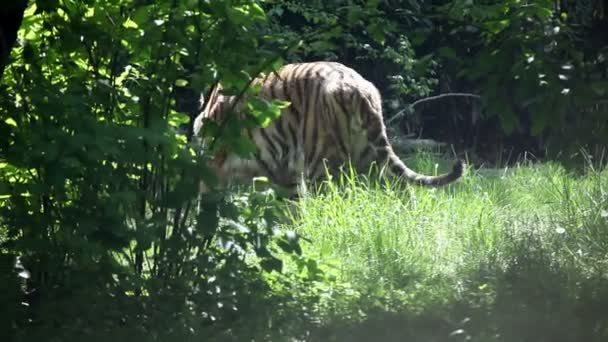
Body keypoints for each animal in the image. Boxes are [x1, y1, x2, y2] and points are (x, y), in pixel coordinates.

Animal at [195, 61, 466, 194]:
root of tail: (358, 86)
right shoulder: (287, 174)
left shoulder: (213, 168)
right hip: (369, 153)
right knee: (400, 187)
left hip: (324, 162)